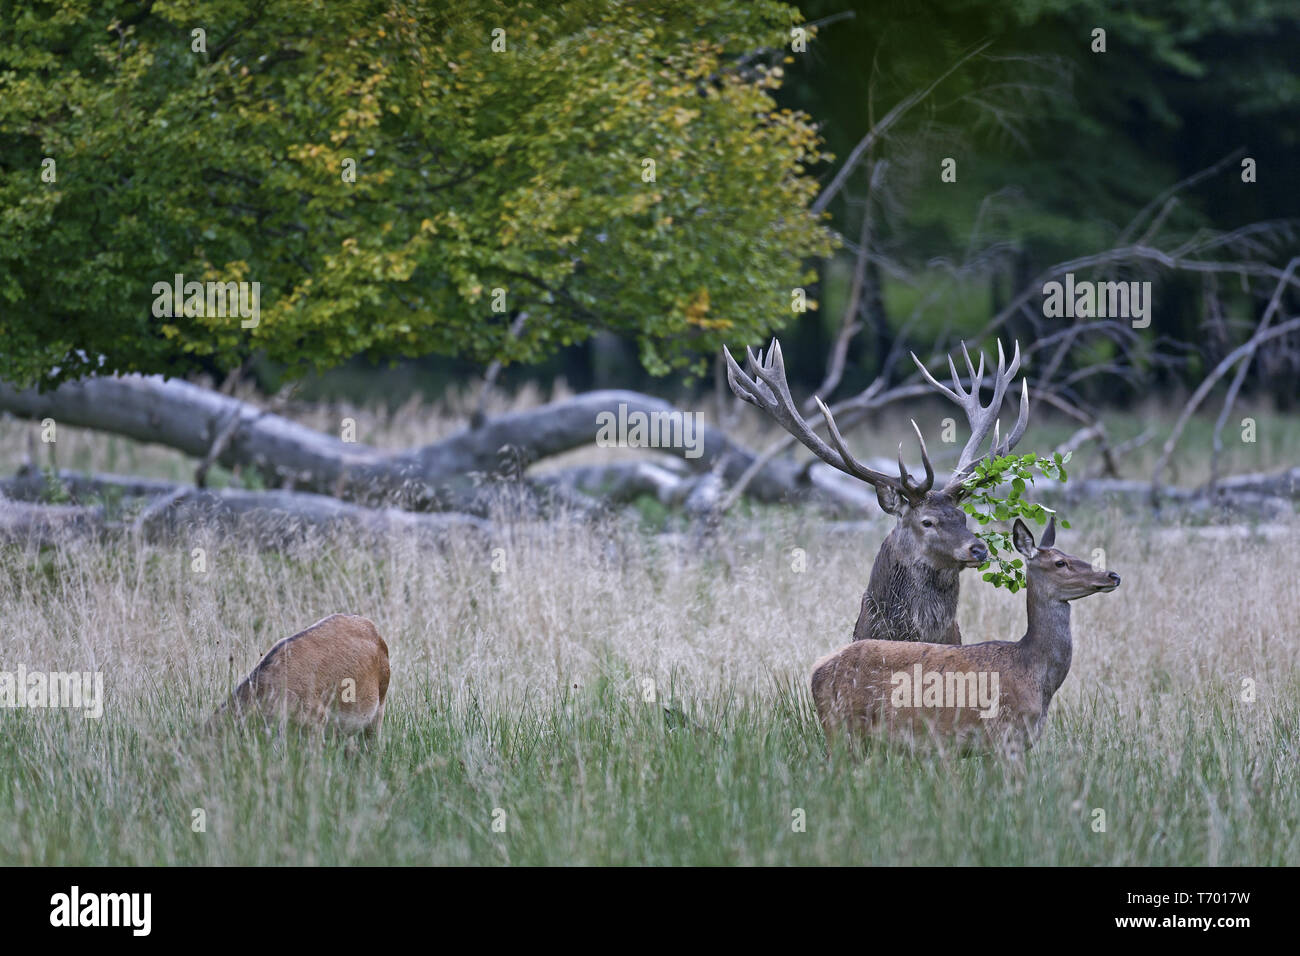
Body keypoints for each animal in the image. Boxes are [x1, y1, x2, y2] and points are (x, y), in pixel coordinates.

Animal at [811, 520, 1118, 759]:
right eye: (1060, 562)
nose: (1112, 575)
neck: (1035, 673)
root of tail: (816, 671)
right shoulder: (1004, 734)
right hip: (840, 726)